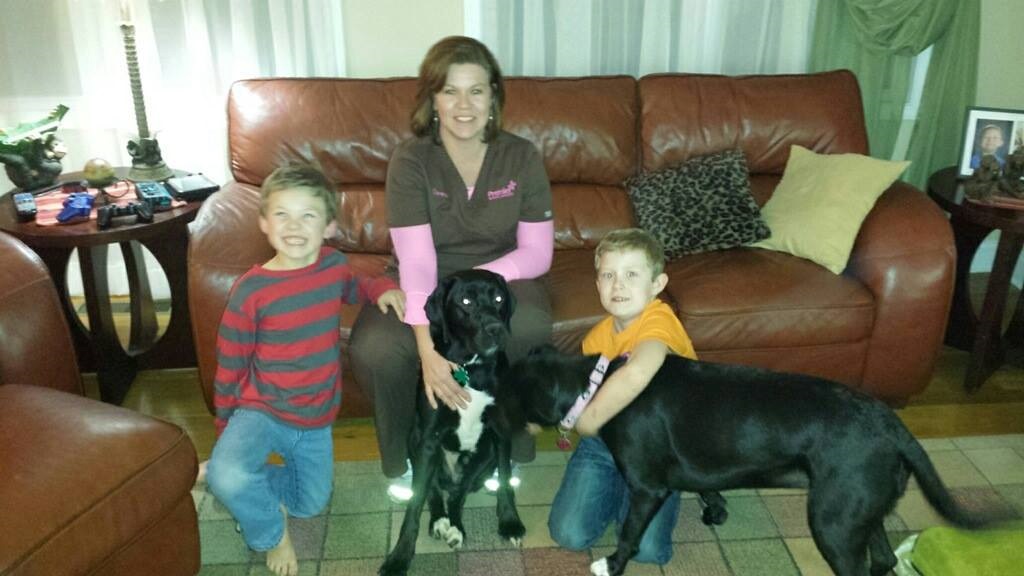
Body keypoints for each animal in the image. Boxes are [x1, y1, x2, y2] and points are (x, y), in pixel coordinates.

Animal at [379, 270, 526, 576]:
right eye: (466, 301)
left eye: (498, 298)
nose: (496, 329)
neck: (471, 368)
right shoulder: (428, 438)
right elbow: (415, 504)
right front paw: (399, 557)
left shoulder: (500, 432)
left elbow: (505, 481)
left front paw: (510, 523)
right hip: (415, 441)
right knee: (434, 491)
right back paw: (439, 521)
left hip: (484, 456)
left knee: (458, 493)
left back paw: (456, 526)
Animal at [498, 345, 1011, 576]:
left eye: (510, 391)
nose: (491, 415)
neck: (595, 385)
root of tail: (893, 425)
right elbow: (707, 484)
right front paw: (715, 508)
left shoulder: (646, 488)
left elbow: (628, 534)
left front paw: (612, 564)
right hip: (857, 509)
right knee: (882, 556)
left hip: (832, 522)